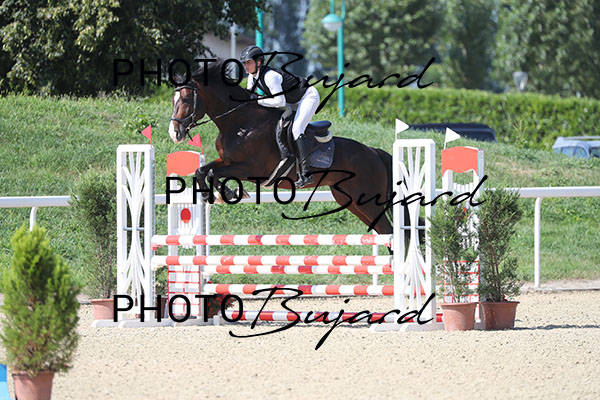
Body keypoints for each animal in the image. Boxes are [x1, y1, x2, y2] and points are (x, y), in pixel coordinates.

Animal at [168, 59, 395, 235]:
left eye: (186, 99)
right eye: (173, 99)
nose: (174, 133)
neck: (240, 124)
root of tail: (374, 152)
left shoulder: (251, 169)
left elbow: (213, 172)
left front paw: (230, 194)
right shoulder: (227, 160)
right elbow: (202, 171)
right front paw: (216, 195)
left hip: (367, 201)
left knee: (389, 231)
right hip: (351, 200)